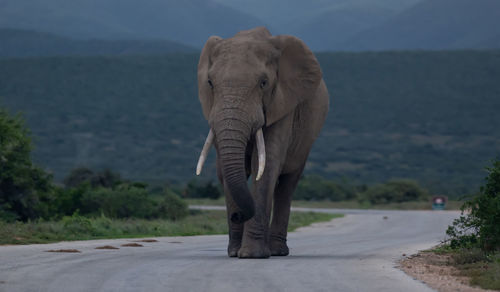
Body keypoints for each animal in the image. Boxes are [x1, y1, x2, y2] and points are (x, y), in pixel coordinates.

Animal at [194, 26, 328, 258]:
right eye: (210, 83)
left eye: (263, 83)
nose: (236, 216)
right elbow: (227, 169)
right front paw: (235, 253)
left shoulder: (283, 105)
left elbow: (266, 164)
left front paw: (251, 255)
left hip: (304, 143)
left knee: (286, 185)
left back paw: (276, 251)